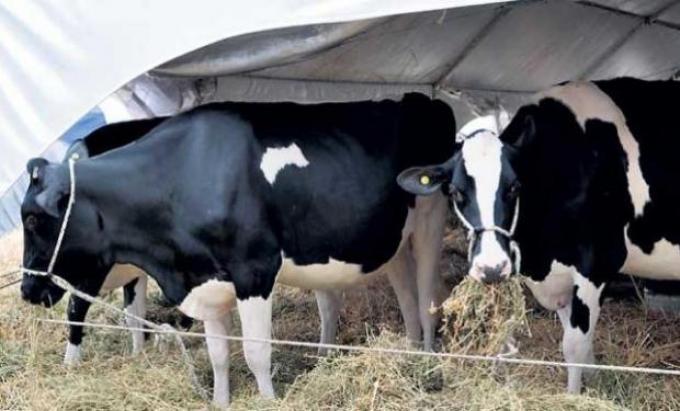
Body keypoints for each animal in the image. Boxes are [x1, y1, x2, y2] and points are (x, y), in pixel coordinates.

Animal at [22, 95, 456, 408]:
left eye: (32, 219)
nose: (27, 291)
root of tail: (420, 98)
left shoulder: (254, 271)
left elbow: (255, 352)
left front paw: (268, 400)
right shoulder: (205, 279)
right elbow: (218, 354)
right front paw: (220, 401)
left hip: (431, 217)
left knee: (426, 296)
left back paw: (429, 360)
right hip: (392, 238)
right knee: (405, 294)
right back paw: (406, 351)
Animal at [398, 78, 680, 396]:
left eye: (514, 187)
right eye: (456, 192)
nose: (492, 268)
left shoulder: (597, 265)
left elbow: (574, 346)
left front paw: (573, 397)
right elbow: (581, 345)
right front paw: (596, 384)